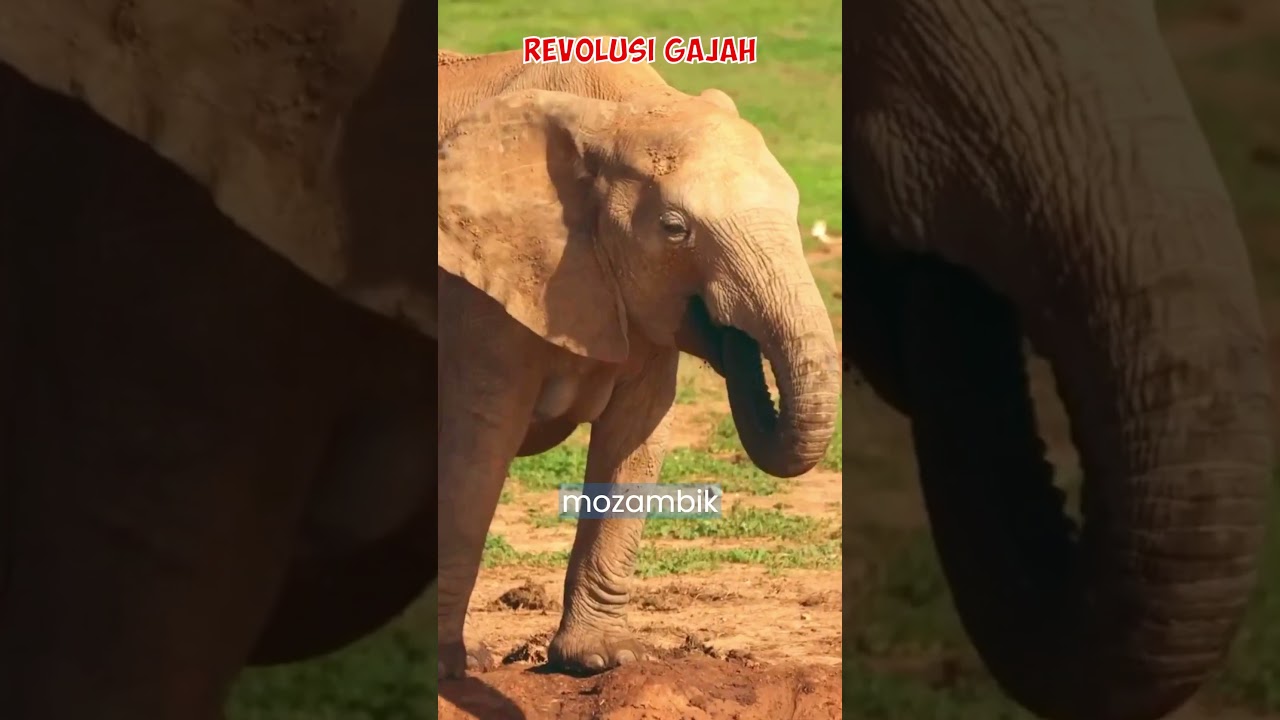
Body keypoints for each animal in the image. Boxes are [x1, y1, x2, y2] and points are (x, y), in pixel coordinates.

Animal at [436, 51, 842, 676]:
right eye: (674, 230)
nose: (731, 335)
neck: (617, 112)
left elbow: (638, 434)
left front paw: (604, 658)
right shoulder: (479, 287)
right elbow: (476, 445)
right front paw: (450, 669)